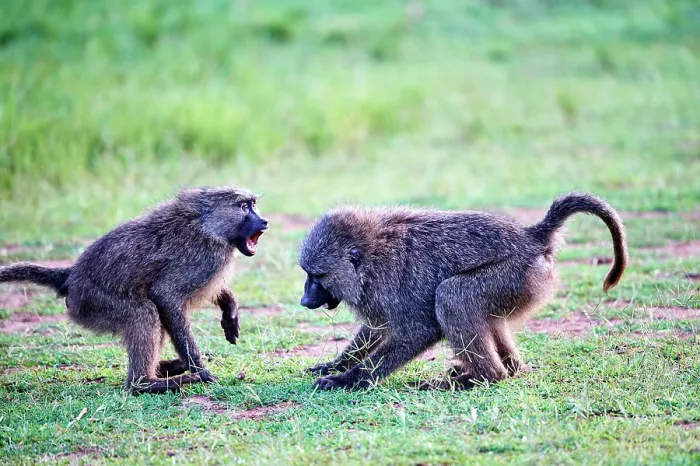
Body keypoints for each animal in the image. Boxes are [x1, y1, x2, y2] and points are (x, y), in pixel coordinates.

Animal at [0, 186, 268, 394]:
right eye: (244, 206)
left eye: (253, 204)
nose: (265, 221)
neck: (207, 225)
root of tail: (72, 275)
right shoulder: (206, 258)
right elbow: (165, 295)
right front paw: (201, 371)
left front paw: (229, 311)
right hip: (93, 301)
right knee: (144, 312)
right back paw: (148, 382)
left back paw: (166, 368)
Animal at [298, 191, 627, 391]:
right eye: (307, 274)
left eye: (318, 276)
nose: (304, 300)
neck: (370, 255)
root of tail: (531, 238)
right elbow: (377, 328)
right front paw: (336, 365)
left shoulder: (388, 285)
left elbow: (419, 330)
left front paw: (348, 379)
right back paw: (509, 369)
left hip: (514, 275)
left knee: (452, 295)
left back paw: (479, 378)